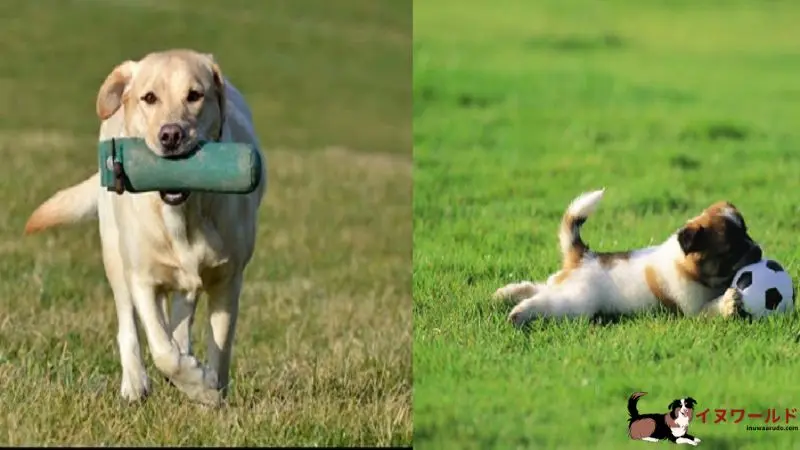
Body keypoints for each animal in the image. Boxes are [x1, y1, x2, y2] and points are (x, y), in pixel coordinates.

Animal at [22, 50, 266, 408]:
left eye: (195, 95)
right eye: (149, 98)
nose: (171, 135)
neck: (182, 217)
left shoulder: (228, 279)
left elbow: (219, 346)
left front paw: (209, 392)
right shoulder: (141, 277)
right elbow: (161, 349)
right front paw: (197, 383)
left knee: (181, 315)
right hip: (114, 255)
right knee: (129, 326)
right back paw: (135, 385)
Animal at [494, 188, 764, 326]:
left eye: (747, 233)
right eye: (731, 249)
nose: (759, 250)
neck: (688, 266)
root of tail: (583, 256)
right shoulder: (694, 309)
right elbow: (714, 307)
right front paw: (729, 302)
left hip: (566, 288)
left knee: (540, 287)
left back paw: (505, 294)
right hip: (577, 301)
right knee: (544, 301)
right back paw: (519, 313)